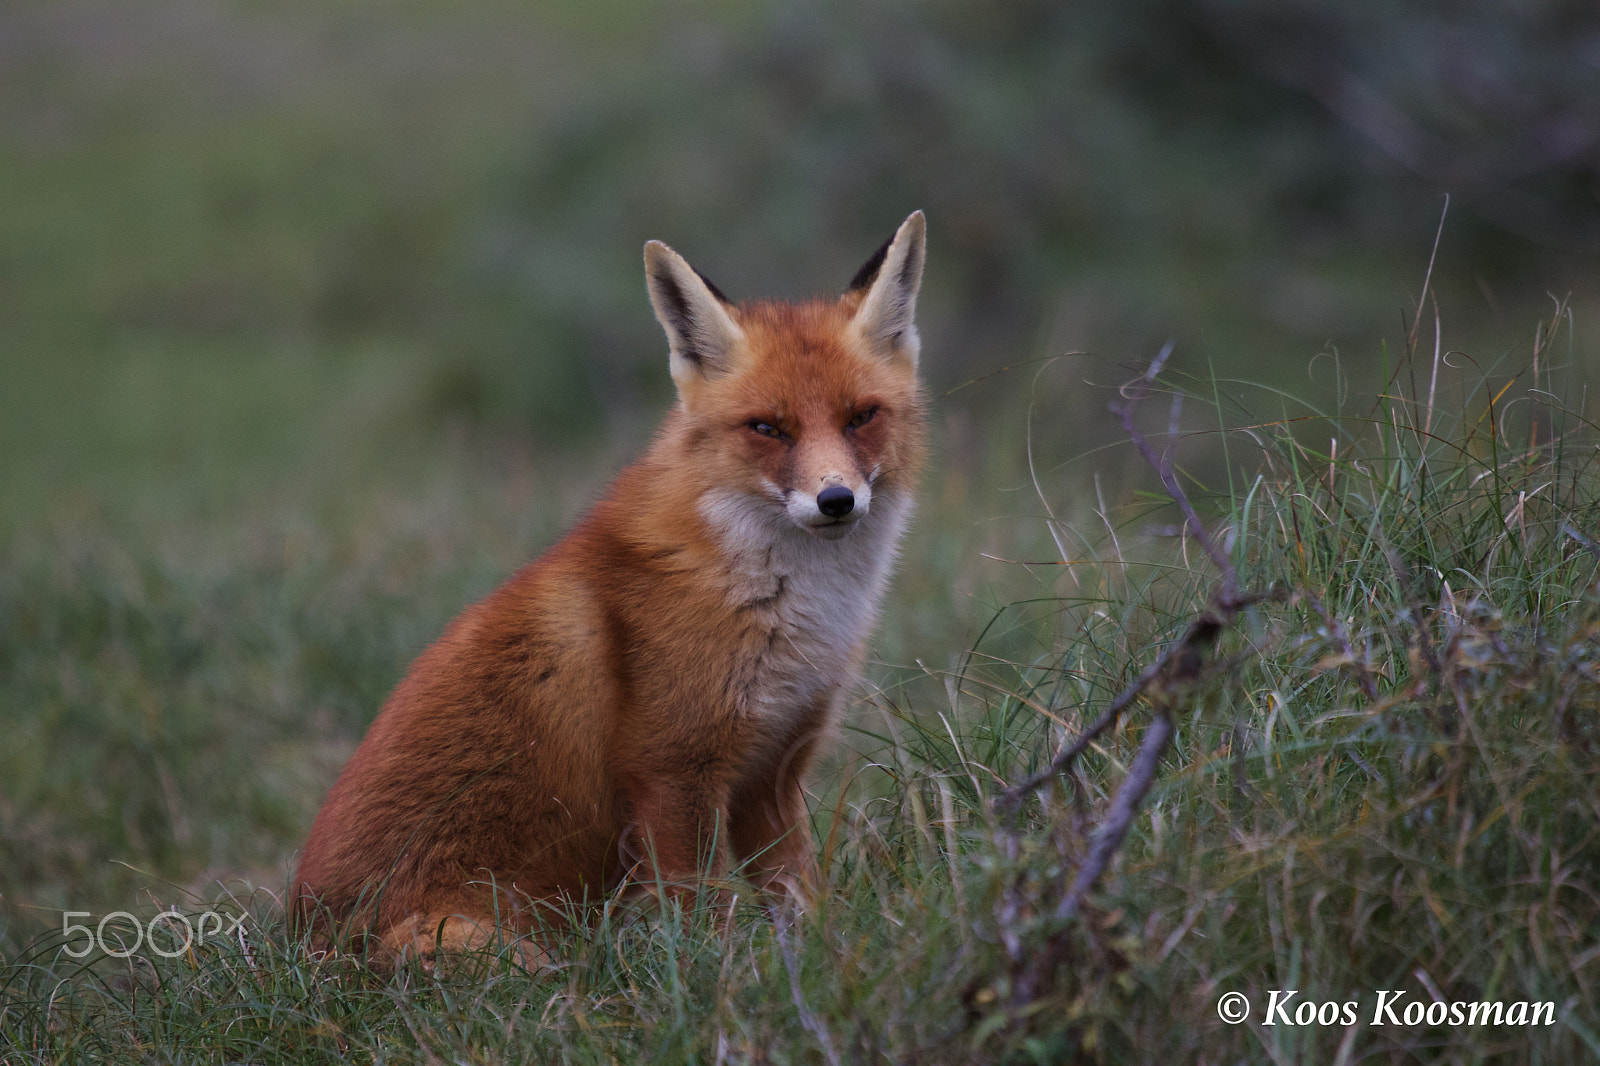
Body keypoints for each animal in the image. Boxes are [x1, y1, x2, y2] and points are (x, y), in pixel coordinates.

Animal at [291, 212, 928, 964]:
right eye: (769, 428)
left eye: (861, 417)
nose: (836, 500)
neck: (788, 608)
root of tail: (298, 945)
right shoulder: (673, 772)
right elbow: (702, 916)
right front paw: (718, 977)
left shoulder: (773, 774)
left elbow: (800, 902)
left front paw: (813, 966)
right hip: (493, 951)